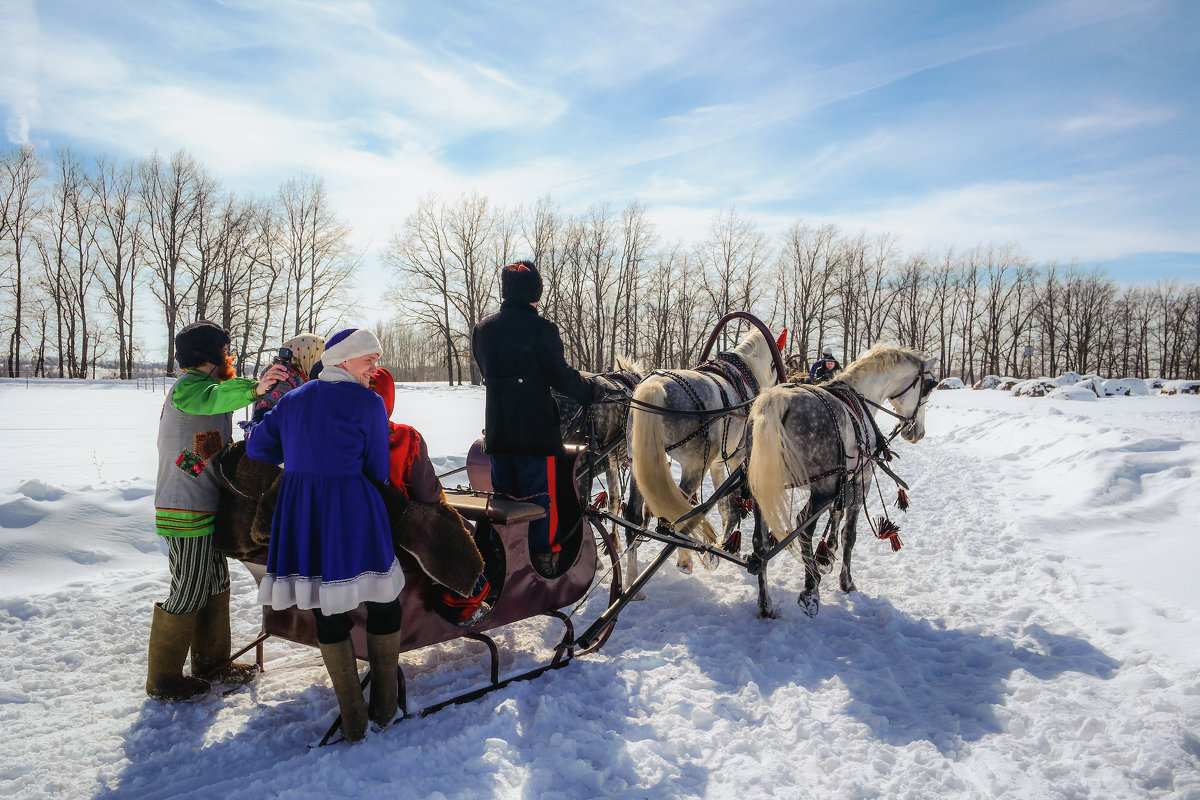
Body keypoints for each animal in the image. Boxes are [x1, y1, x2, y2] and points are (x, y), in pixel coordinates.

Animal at [624, 328, 782, 578]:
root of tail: (655, 387)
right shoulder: (736, 458)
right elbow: (730, 504)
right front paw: (723, 548)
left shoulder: (717, 463)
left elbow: (726, 506)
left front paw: (725, 545)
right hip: (695, 467)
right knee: (674, 518)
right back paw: (685, 559)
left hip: (637, 463)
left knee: (633, 518)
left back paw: (630, 580)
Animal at [748, 343, 936, 618]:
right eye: (928, 386)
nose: (917, 432)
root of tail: (777, 401)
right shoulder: (860, 481)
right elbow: (850, 535)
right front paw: (846, 581)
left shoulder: (842, 481)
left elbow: (836, 515)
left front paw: (826, 554)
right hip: (821, 489)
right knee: (803, 526)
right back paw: (810, 586)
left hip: (761, 488)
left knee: (760, 544)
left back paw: (765, 604)